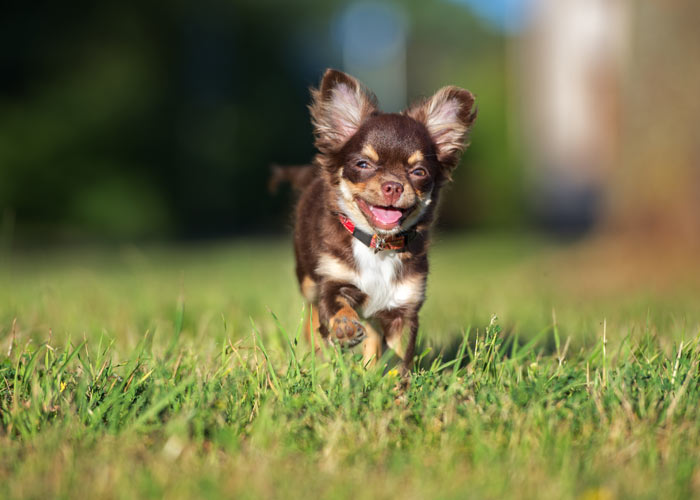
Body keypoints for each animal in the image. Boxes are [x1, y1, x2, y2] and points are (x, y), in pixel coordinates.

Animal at [286, 68, 476, 372]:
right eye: (363, 164)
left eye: (419, 172)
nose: (393, 186)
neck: (378, 245)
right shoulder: (333, 281)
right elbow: (335, 307)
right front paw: (344, 327)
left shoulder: (404, 307)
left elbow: (399, 358)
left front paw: (395, 384)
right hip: (307, 279)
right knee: (312, 313)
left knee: (373, 335)